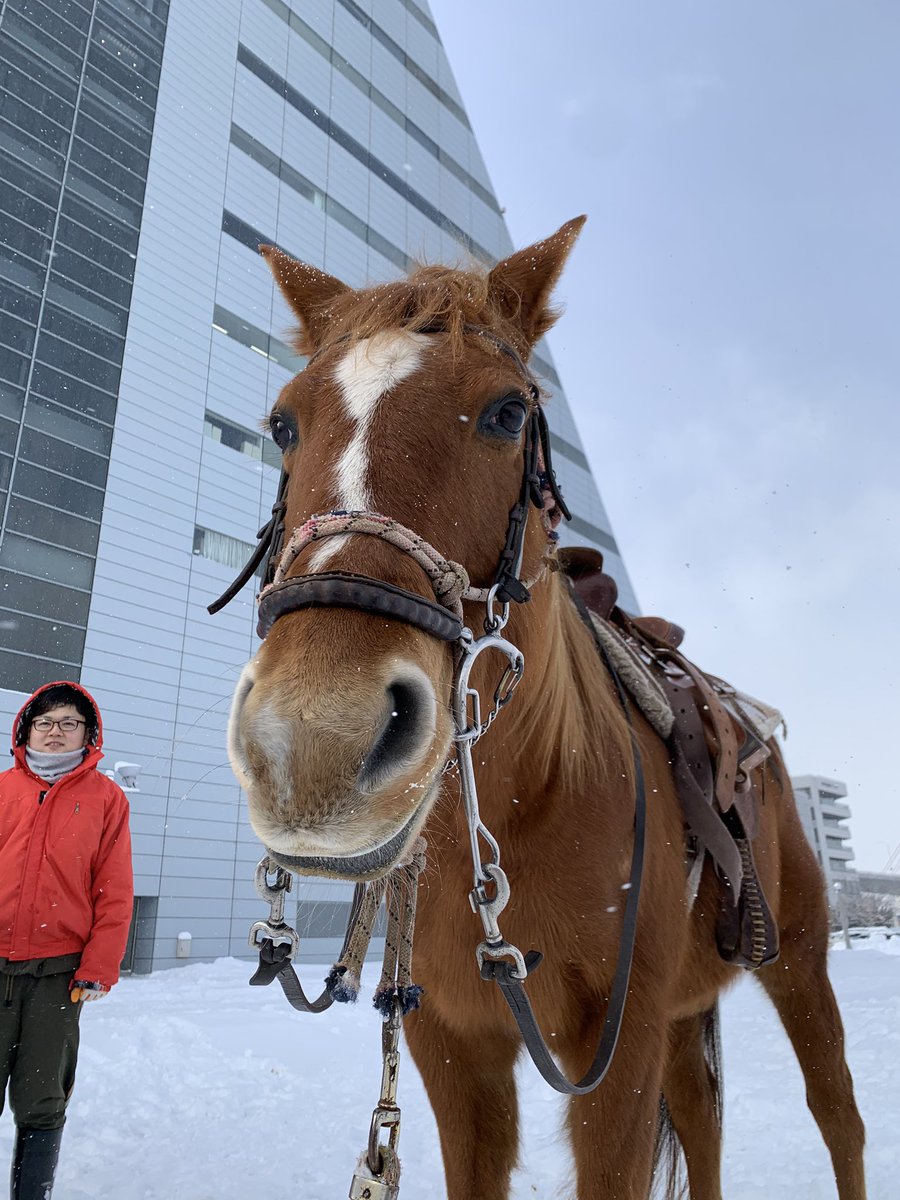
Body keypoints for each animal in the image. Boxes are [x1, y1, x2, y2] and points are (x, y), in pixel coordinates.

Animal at [226, 217, 866, 1199]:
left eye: (506, 414)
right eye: (283, 423)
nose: (314, 741)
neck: (523, 804)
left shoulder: (617, 1050)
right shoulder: (451, 1045)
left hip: (797, 955)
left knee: (838, 1115)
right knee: (706, 1125)